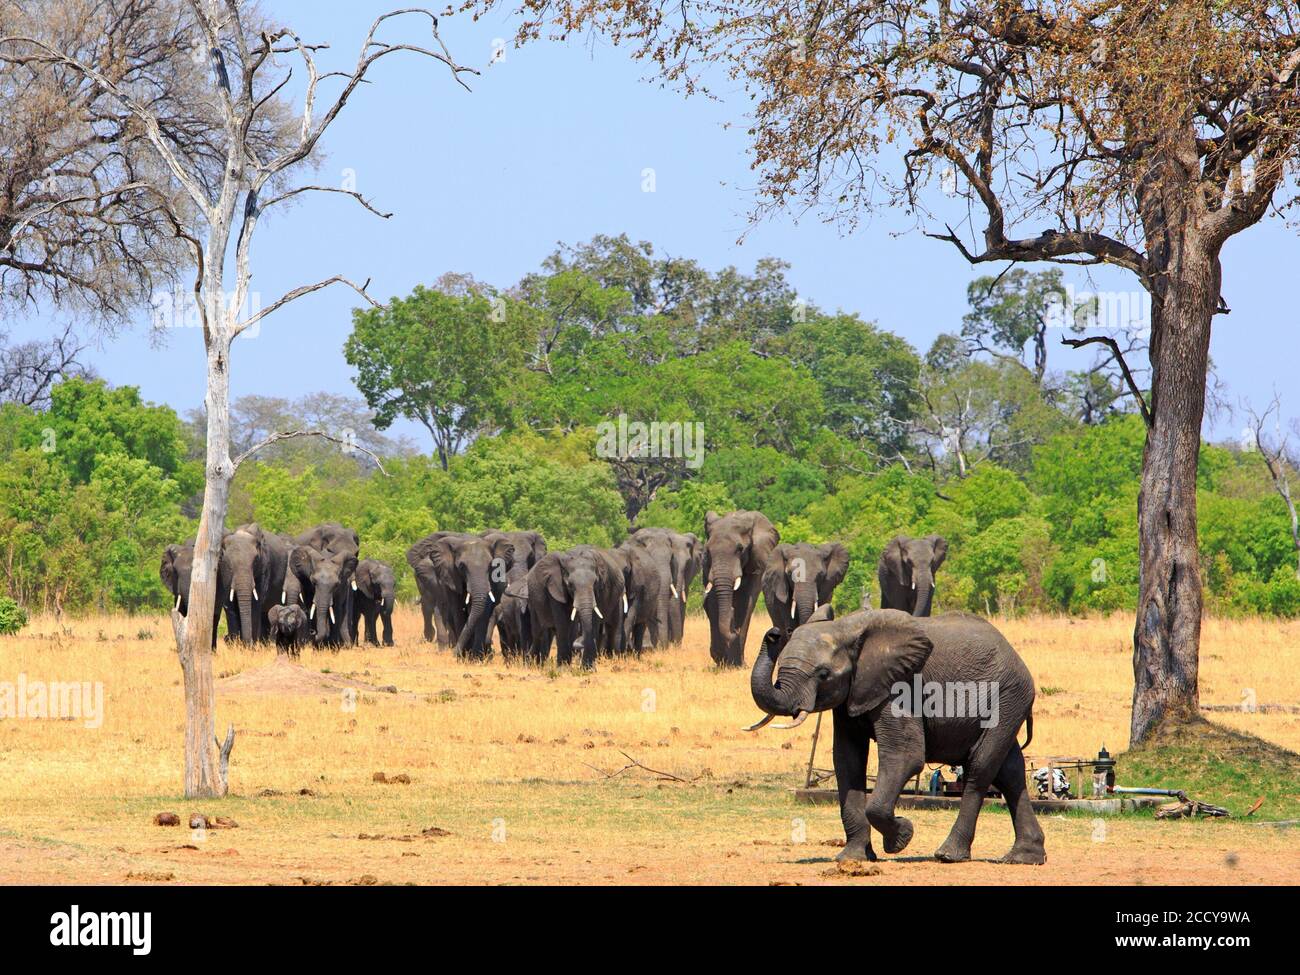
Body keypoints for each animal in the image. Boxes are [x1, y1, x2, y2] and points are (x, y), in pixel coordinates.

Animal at [405, 530, 512, 660]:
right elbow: (457, 609)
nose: (454, 653)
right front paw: (463, 656)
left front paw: (476, 657)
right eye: (462, 566)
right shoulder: (450, 576)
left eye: (491, 566)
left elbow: (483, 612)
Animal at [702, 512, 780, 665]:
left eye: (740, 549)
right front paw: (723, 660)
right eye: (708, 550)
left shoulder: (757, 560)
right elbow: (713, 601)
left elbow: (746, 602)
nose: (735, 630)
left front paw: (737, 663)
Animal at [748, 608, 1040, 868]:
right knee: (1010, 772)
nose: (774, 633)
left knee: (980, 768)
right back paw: (1023, 858)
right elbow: (847, 761)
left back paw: (948, 855)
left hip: (1008, 696)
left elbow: (906, 756)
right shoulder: (851, 694)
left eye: (823, 674)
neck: (846, 628)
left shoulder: (899, 687)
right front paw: (853, 858)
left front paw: (901, 838)